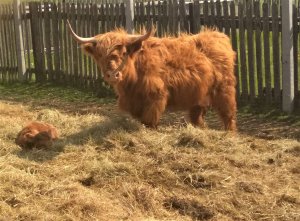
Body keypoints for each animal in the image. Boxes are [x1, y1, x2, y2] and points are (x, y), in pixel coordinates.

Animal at [67, 21, 237, 130]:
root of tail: (218, 35)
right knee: (197, 116)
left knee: (228, 115)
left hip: (225, 90)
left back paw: (229, 134)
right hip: (198, 95)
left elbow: (149, 121)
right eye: (100, 55)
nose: (112, 75)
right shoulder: (133, 102)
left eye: (124, 53)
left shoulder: (155, 97)